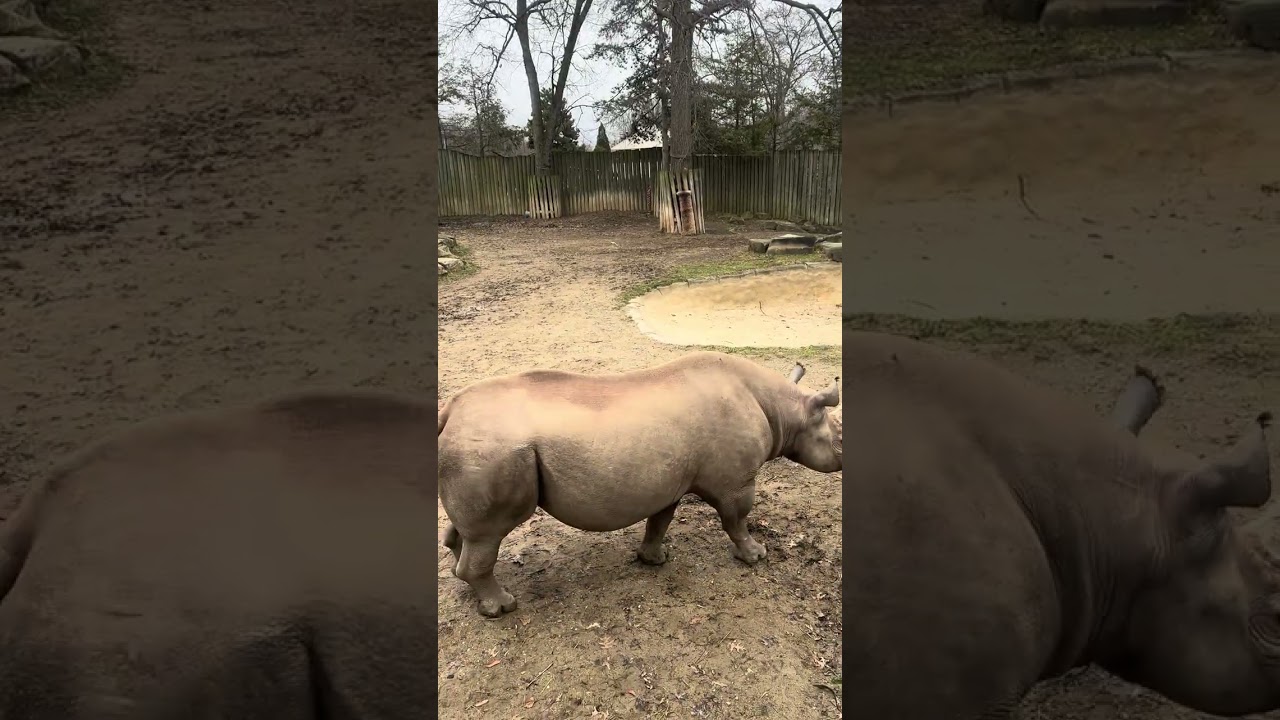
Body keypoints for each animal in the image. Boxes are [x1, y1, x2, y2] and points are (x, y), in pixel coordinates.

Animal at [437, 352, 843, 617]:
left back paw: (467, 585)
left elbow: (660, 520)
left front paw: (654, 560)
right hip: (492, 452)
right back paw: (502, 607)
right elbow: (737, 519)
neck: (786, 409)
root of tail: (450, 412)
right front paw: (756, 556)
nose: (842, 462)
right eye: (837, 436)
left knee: (470, 532)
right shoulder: (736, 482)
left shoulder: (670, 479)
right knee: (490, 533)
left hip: (476, 451)